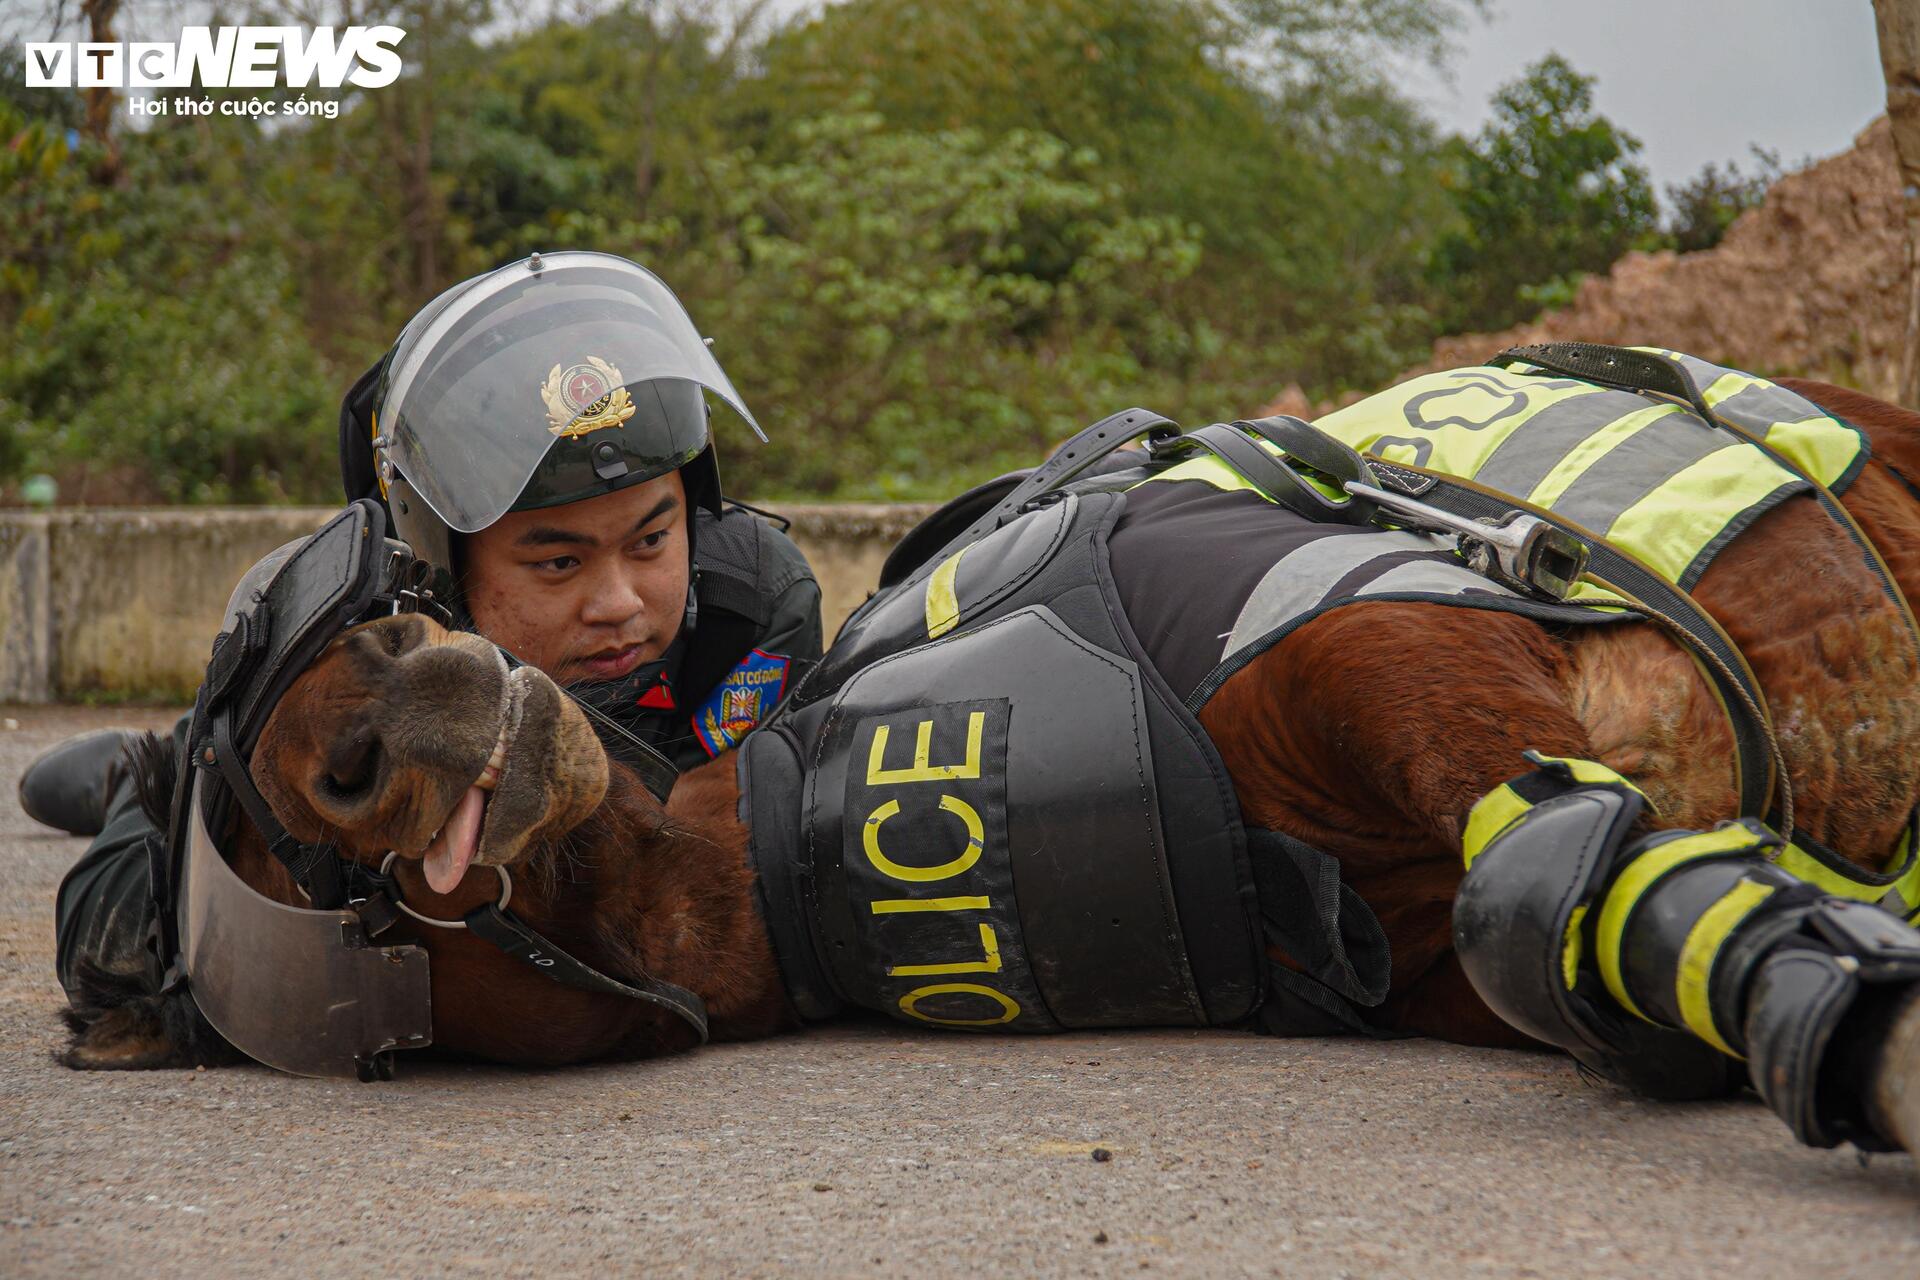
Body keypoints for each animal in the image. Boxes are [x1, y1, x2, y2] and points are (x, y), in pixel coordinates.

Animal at [63, 364, 1920, 1159]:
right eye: (259, 826)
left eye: (323, 605)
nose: (386, 705)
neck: (786, 841)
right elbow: (1569, 905)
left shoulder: (1386, 651)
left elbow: (1571, 852)